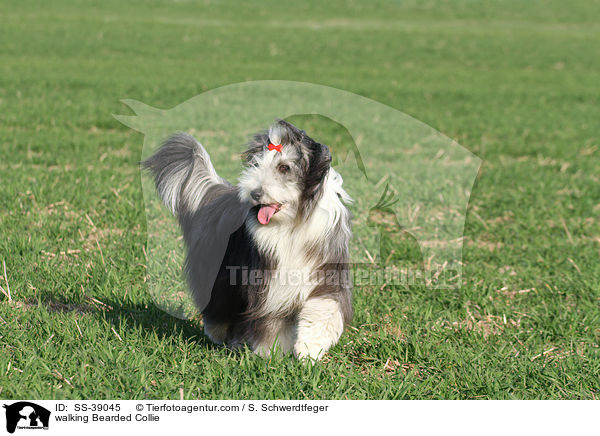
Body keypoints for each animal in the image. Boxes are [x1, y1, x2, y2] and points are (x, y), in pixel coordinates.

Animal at [144, 120, 352, 362]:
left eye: (284, 167)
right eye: (256, 164)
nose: (255, 193)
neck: (293, 224)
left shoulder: (326, 269)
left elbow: (324, 309)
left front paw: (310, 349)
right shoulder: (269, 282)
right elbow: (271, 320)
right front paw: (270, 353)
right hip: (220, 274)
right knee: (219, 306)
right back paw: (220, 335)